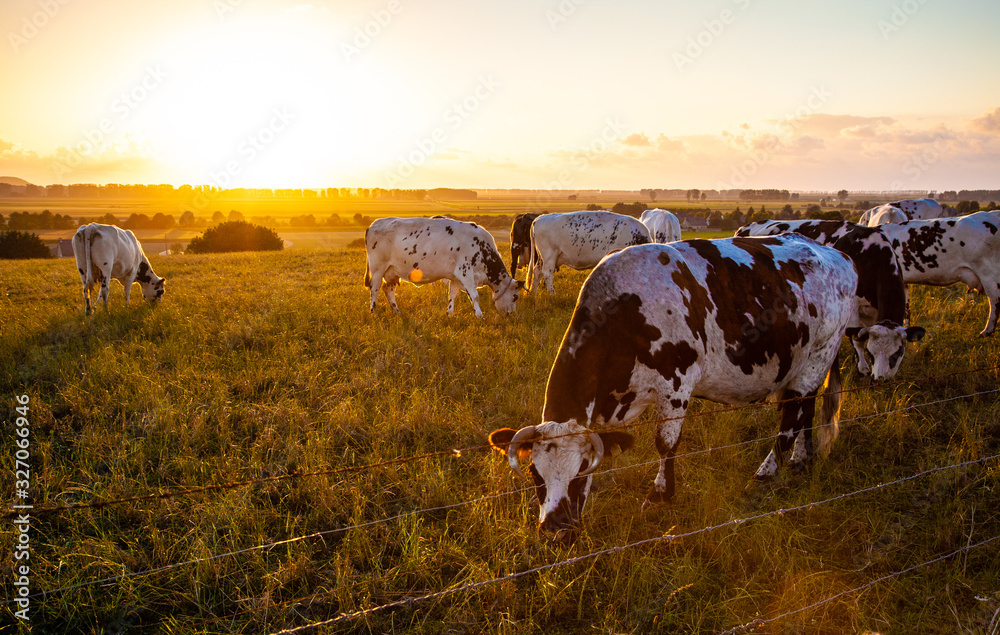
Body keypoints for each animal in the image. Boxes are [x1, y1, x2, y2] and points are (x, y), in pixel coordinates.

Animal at [366, 217, 524, 318]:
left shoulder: (454, 276)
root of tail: (374, 224)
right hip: (377, 268)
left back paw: (397, 312)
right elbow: (475, 296)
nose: (512, 315)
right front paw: (480, 316)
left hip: (392, 271)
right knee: (375, 289)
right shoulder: (465, 271)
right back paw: (373, 313)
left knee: (388, 290)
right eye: (515, 297)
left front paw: (450, 314)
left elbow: (453, 295)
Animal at [488, 236, 856, 544]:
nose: (556, 529)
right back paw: (801, 461)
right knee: (806, 412)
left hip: (818, 356)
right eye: (535, 473)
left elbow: (666, 444)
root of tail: (836, 255)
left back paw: (765, 474)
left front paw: (660, 496)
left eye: (580, 472)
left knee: (791, 421)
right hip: (808, 368)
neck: (625, 311)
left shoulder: (678, 384)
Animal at [732, 220, 924, 378]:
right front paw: (862, 368)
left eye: (897, 353)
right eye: (871, 352)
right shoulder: (853, 305)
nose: (880, 379)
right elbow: (857, 337)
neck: (873, 254)